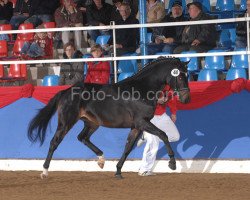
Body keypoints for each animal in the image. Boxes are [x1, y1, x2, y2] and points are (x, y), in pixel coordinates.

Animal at [28, 57, 190, 179]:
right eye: (180, 75)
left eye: (187, 75)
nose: (186, 98)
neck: (142, 89)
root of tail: (66, 91)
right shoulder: (142, 122)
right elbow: (163, 134)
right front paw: (172, 164)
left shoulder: (136, 126)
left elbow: (128, 148)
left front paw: (118, 171)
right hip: (66, 122)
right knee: (54, 142)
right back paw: (44, 172)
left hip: (92, 123)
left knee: (82, 138)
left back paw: (101, 160)